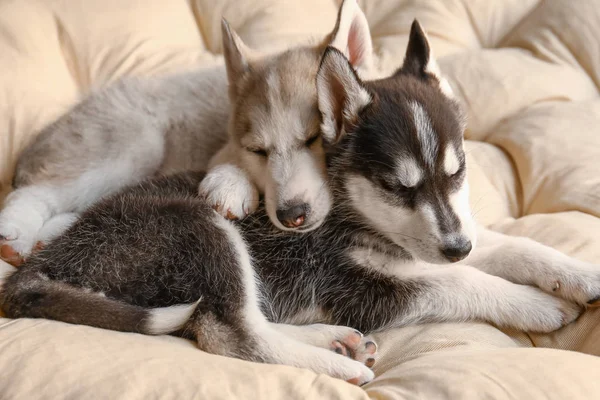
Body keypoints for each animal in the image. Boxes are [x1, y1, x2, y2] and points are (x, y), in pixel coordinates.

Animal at [0, 0, 376, 268]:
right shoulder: (224, 148)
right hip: (138, 143)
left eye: (314, 138)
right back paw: (17, 232)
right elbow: (229, 161)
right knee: (35, 192)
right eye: (258, 151)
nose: (291, 215)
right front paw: (231, 183)